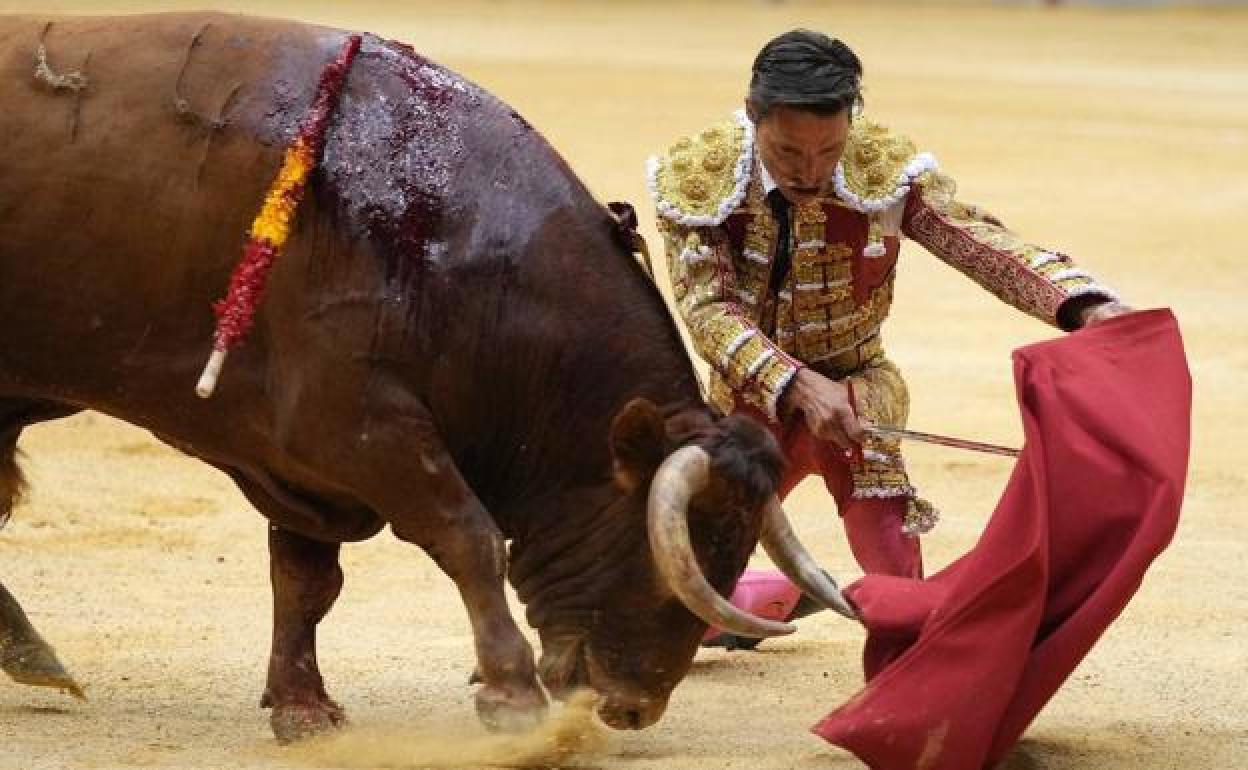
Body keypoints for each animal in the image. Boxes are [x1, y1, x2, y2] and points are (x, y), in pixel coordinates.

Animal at [0, 14, 853, 743]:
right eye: (687, 545)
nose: (633, 708)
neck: (447, 243)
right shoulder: (354, 428)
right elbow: (465, 534)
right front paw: (512, 700)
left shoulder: (302, 461)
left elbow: (305, 579)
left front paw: (303, 708)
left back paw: (29, 653)